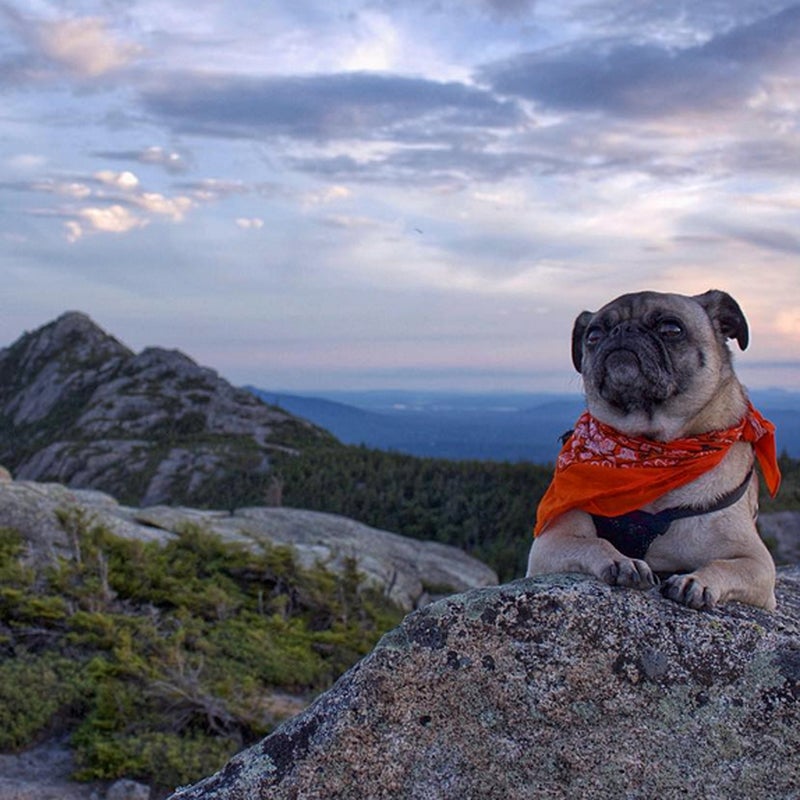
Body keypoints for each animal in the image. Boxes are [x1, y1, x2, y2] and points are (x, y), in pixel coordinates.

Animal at [528, 290, 780, 608]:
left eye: (671, 329)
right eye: (594, 335)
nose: (623, 331)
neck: (652, 450)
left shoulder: (756, 562)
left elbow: (723, 564)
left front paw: (695, 582)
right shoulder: (551, 543)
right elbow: (595, 542)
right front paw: (623, 562)